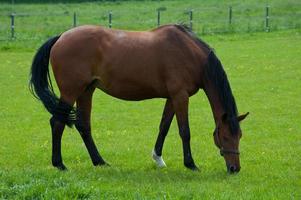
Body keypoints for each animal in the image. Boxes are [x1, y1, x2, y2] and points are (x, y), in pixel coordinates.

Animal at [29, 24, 247, 173]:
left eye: (239, 136)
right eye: (225, 136)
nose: (234, 169)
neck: (189, 52)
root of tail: (61, 37)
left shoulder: (172, 98)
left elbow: (164, 127)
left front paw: (158, 158)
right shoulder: (180, 96)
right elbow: (184, 131)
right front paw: (191, 164)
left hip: (86, 91)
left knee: (83, 125)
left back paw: (99, 161)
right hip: (71, 92)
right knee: (57, 123)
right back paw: (59, 164)